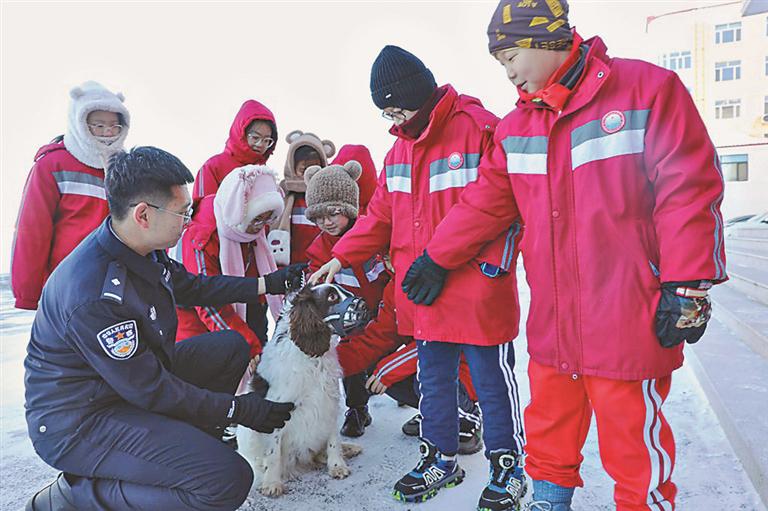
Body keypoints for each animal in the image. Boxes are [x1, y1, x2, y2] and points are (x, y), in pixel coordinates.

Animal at [240, 282, 364, 498]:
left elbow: (334, 441)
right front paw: (272, 483)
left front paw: (337, 466)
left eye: (347, 291)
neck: (312, 359)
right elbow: (273, 453)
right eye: (332, 297)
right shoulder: (276, 412)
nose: (364, 305)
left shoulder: (330, 402)